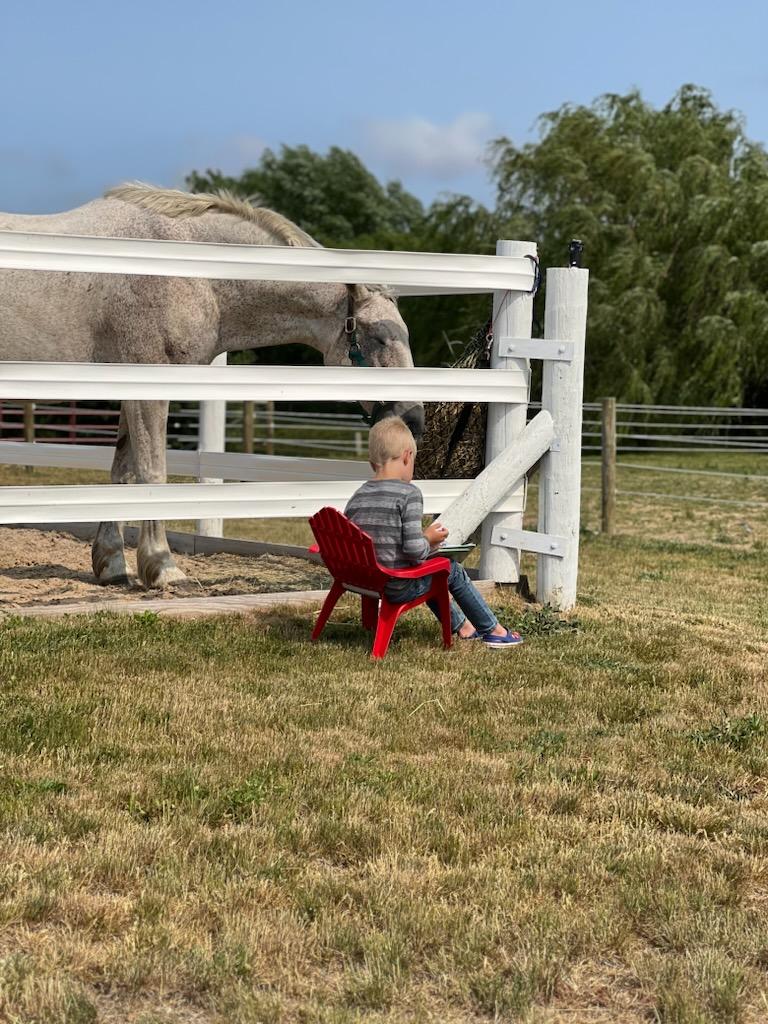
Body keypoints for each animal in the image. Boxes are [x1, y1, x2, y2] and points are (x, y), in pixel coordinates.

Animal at [0, 183, 428, 585]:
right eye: (378, 337)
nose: (414, 419)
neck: (192, 271)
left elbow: (122, 472)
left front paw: (112, 565)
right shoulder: (150, 386)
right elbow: (152, 472)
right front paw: (163, 566)